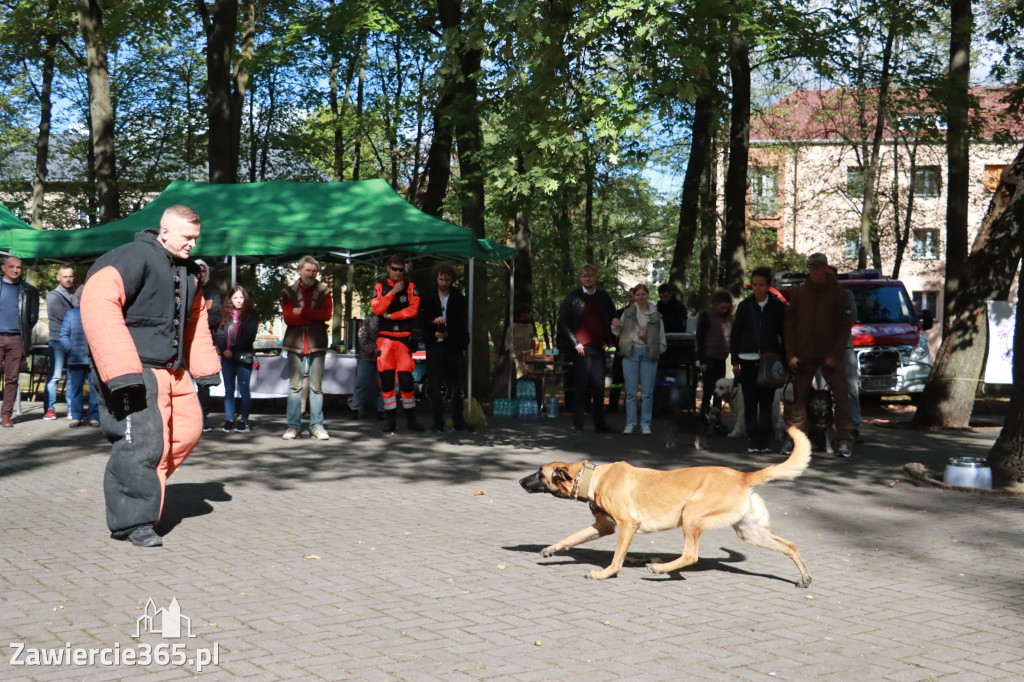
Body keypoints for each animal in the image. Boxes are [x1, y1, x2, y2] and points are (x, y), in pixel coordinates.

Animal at [520, 425, 815, 585]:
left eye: (539, 473)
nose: (521, 481)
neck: (594, 477)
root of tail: (742, 476)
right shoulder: (603, 527)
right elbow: (571, 538)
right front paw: (551, 549)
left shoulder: (627, 525)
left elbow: (617, 558)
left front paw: (605, 574)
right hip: (749, 532)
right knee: (790, 546)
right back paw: (805, 577)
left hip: (691, 515)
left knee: (691, 555)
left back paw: (660, 568)